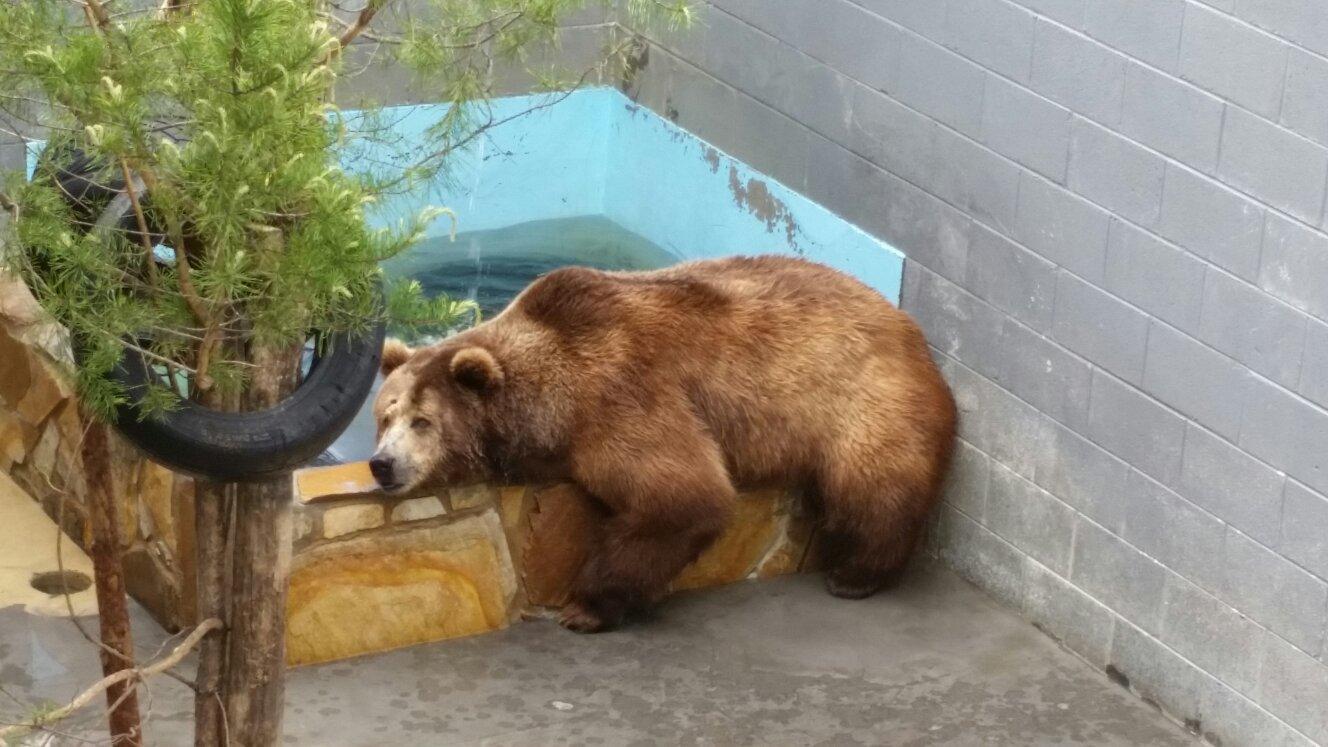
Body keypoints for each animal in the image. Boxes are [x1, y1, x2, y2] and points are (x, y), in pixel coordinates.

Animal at [369, 253, 961, 627]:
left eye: (422, 421)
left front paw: (585, 607)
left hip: (863, 400)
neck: (547, 407)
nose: (381, 464)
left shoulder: (618, 398)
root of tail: (912, 332)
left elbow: (682, 495)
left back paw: (856, 572)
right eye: (384, 415)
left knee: (871, 486)